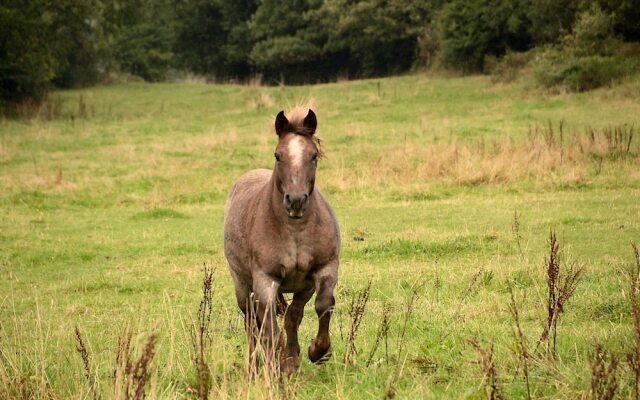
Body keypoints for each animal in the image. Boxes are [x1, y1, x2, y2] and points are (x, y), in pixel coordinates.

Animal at [222, 107, 340, 376]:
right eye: (278, 155)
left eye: (313, 156)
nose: (295, 200)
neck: (295, 230)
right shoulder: (265, 281)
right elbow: (270, 331)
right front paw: (276, 365)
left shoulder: (323, 271)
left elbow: (318, 307)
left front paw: (314, 352)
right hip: (242, 285)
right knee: (251, 323)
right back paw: (254, 367)